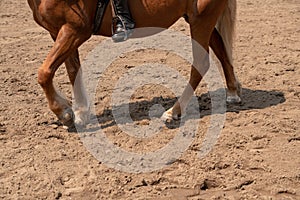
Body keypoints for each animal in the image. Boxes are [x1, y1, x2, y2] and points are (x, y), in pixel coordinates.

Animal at [26, 0, 241, 128]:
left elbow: (44, 73)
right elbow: (72, 71)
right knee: (221, 50)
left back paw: (173, 111)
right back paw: (232, 92)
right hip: (198, 18)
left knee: (201, 63)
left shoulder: (75, 29)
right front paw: (80, 113)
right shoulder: (59, 31)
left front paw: (64, 113)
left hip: (202, 18)